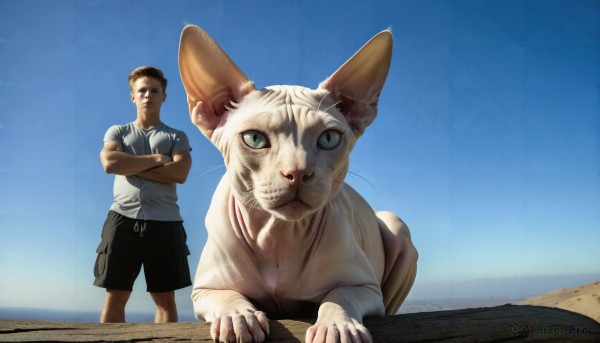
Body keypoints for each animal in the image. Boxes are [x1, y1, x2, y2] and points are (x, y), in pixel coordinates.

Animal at [179, 24, 418, 343]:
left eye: (329, 138)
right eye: (254, 138)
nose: (297, 172)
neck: (278, 236)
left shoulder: (366, 287)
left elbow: (340, 295)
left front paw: (337, 326)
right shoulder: (204, 290)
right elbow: (226, 294)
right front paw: (237, 317)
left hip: (394, 225)